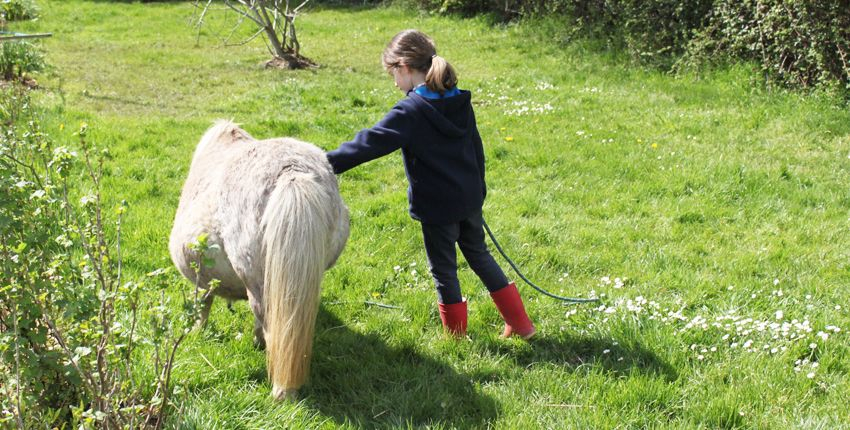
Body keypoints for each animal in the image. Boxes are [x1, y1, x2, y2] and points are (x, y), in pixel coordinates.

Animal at [169, 120, 348, 400]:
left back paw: (282, 392)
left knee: (274, 328)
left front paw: (198, 330)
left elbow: (204, 302)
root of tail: (293, 173)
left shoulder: (205, 279)